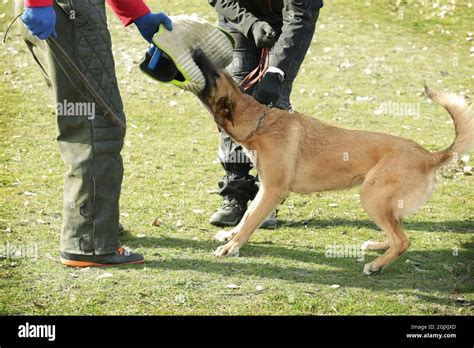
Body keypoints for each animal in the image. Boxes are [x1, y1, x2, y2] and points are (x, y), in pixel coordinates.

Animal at [193, 48, 474, 274]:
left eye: (215, 75)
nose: (198, 51)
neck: (259, 123)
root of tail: (428, 155)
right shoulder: (264, 189)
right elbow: (246, 216)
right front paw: (230, 235)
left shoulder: (272, 191)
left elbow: (250, 222)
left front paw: (231, 247)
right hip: (384, 203)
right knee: (398, 233)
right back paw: (377, 246)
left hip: (371, 198)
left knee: (403, 240)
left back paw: (376, 265)